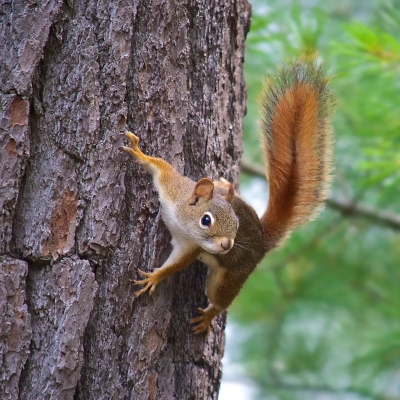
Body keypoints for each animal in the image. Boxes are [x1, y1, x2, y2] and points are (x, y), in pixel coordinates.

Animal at [122, 53, 334, 334]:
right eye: (206, 220)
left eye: (236, 225)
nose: (227, 245)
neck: (181, 221)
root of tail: (262, 243)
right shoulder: (172, 187)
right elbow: (160, 166)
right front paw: (139, 153)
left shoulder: (190, 247)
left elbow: (176, 264)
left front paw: (155, 277)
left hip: (231, 277)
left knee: (221, 299)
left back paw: (209, 316)